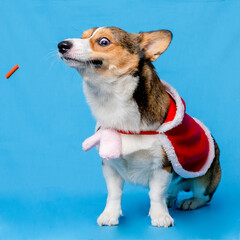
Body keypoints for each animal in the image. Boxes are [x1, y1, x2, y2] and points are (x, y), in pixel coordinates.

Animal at [58, 27, 221, 228]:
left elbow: (156, 194)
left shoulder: (162, 166)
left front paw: (160, 216)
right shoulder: (110, 165)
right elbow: (114, 193)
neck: (114, 103)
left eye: (104, 41)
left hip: (204, 180)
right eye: (82, 36)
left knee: (203, 197)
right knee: (172, 191)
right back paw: (170, 198)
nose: (62, 45)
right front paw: (110, 214)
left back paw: (189, 201)